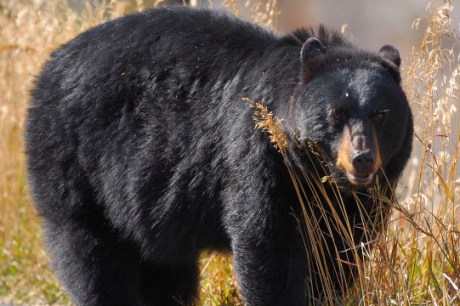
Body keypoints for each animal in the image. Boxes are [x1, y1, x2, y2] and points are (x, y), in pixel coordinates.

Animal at [25, 6, 414, 306]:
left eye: (381, 114)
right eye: (336, 113)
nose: (362, 158)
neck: (319, 177)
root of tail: (49, 67)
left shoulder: (360, 200)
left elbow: (340, 253)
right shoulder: (259, 156)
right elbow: (266, 242)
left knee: (165, 270)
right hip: (76, 166)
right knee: (92, 258)